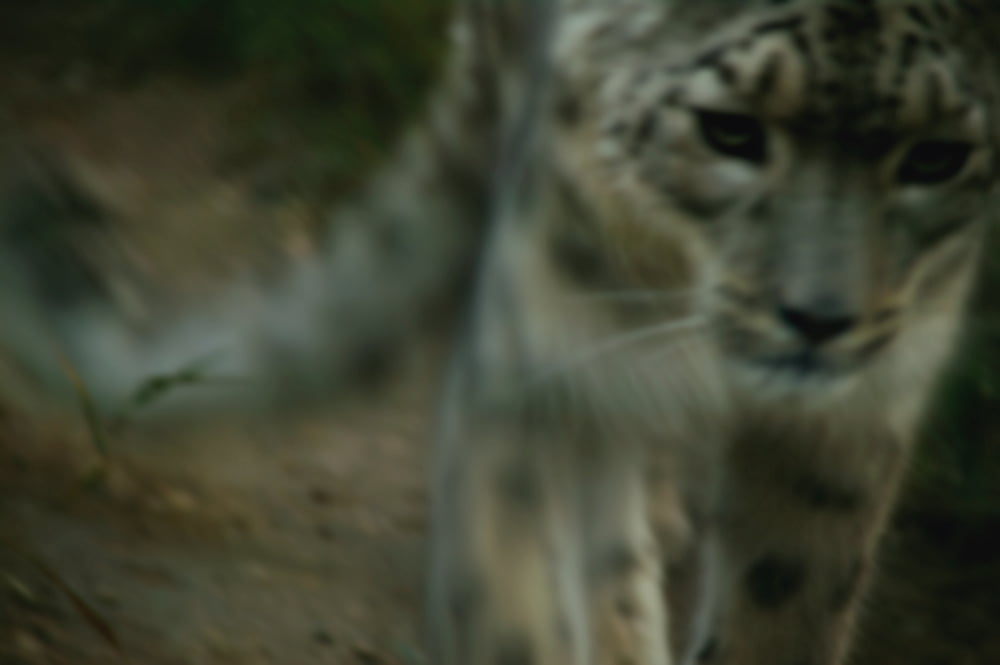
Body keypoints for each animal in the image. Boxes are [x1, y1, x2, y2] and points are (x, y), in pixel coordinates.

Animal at [2, 1, 999, 665]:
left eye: (936, 155)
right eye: (730, 130)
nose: (819, 319)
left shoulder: (851, 421)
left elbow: (782, 602)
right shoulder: (536, 357)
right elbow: (511, 598)